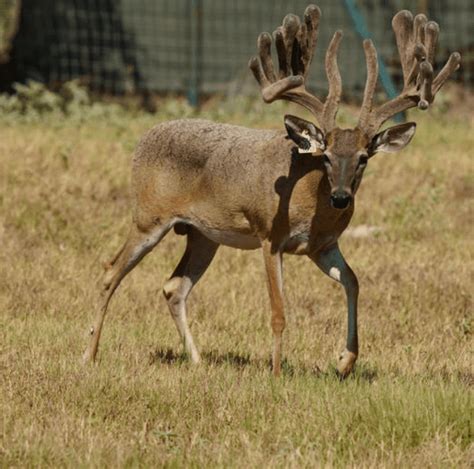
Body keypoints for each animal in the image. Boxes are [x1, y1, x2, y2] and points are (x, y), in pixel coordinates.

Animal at [83, 4, 462, 376]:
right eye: (325, 155)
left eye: (363, 158)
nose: (341, 197)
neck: (311, 201)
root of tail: (143, 139)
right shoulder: (270, 235)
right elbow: (279, 311)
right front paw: (278, 373)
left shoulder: (321, 246)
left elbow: (354, 282)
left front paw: (344, 361)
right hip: (149, 217)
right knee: (109, 273)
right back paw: (89, 354)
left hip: (203, 234)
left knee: (174, 287)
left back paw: (198, 361)